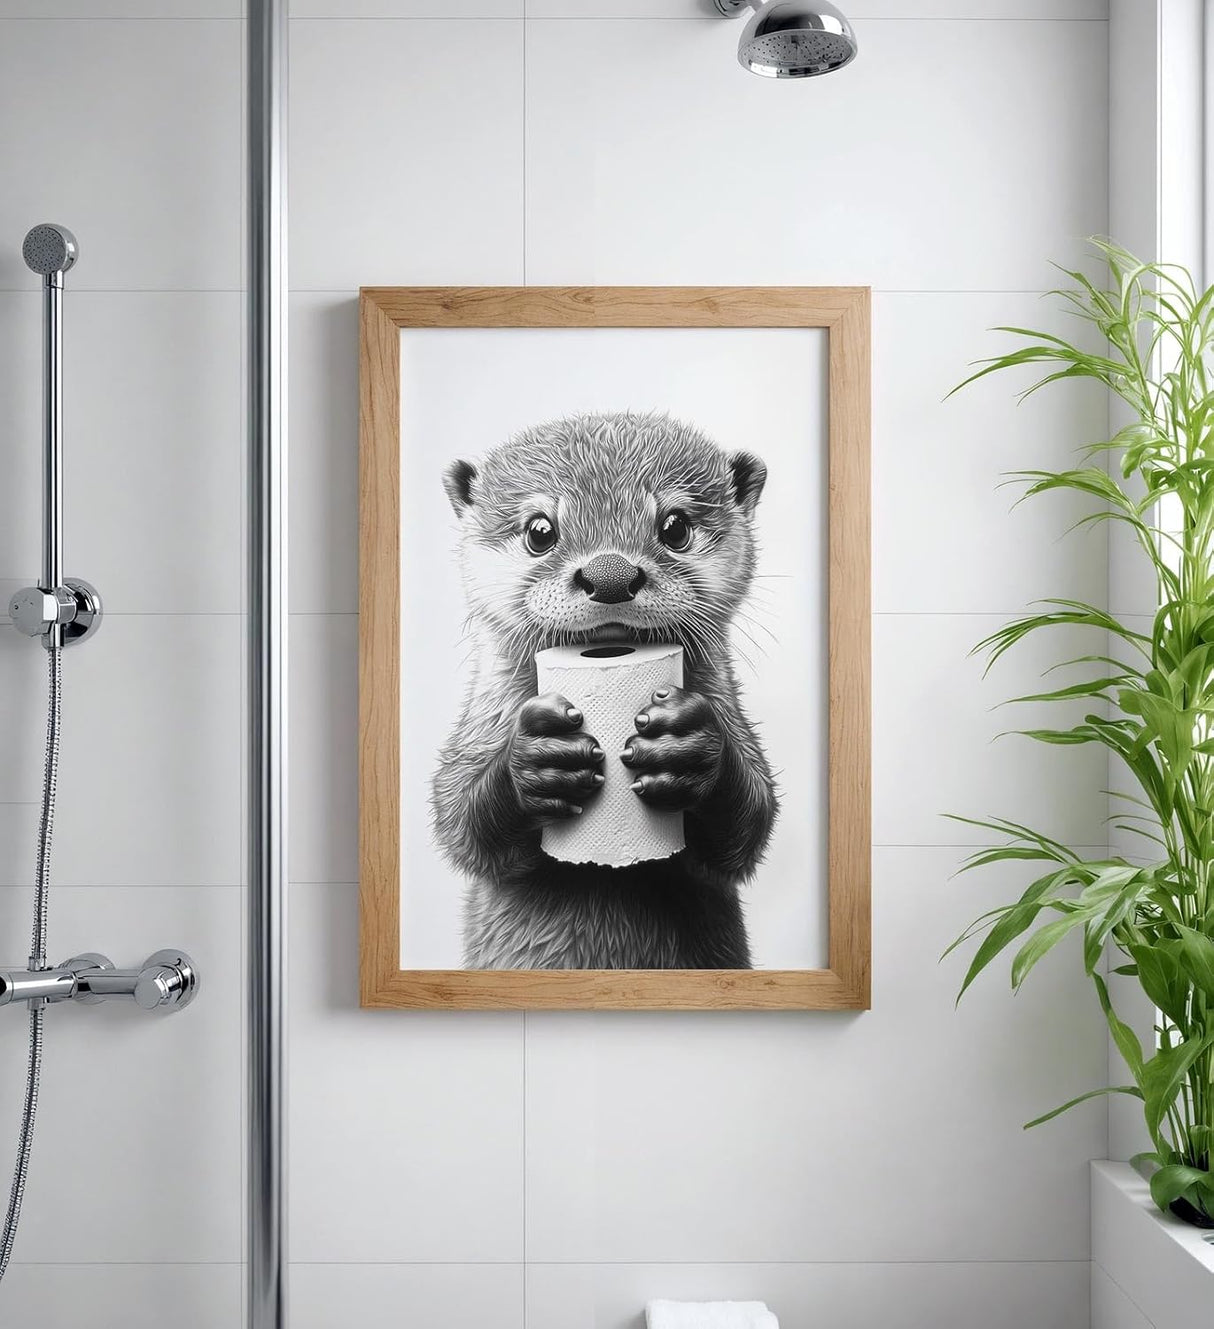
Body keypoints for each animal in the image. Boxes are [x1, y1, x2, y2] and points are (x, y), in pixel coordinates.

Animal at [431, 411, 778, 970]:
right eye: (540, 531)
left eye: (675, 527)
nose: (610, 574)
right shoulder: (476, 734)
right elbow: (458, 821)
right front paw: (538, 762)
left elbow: (749, 826)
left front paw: (688, 749)